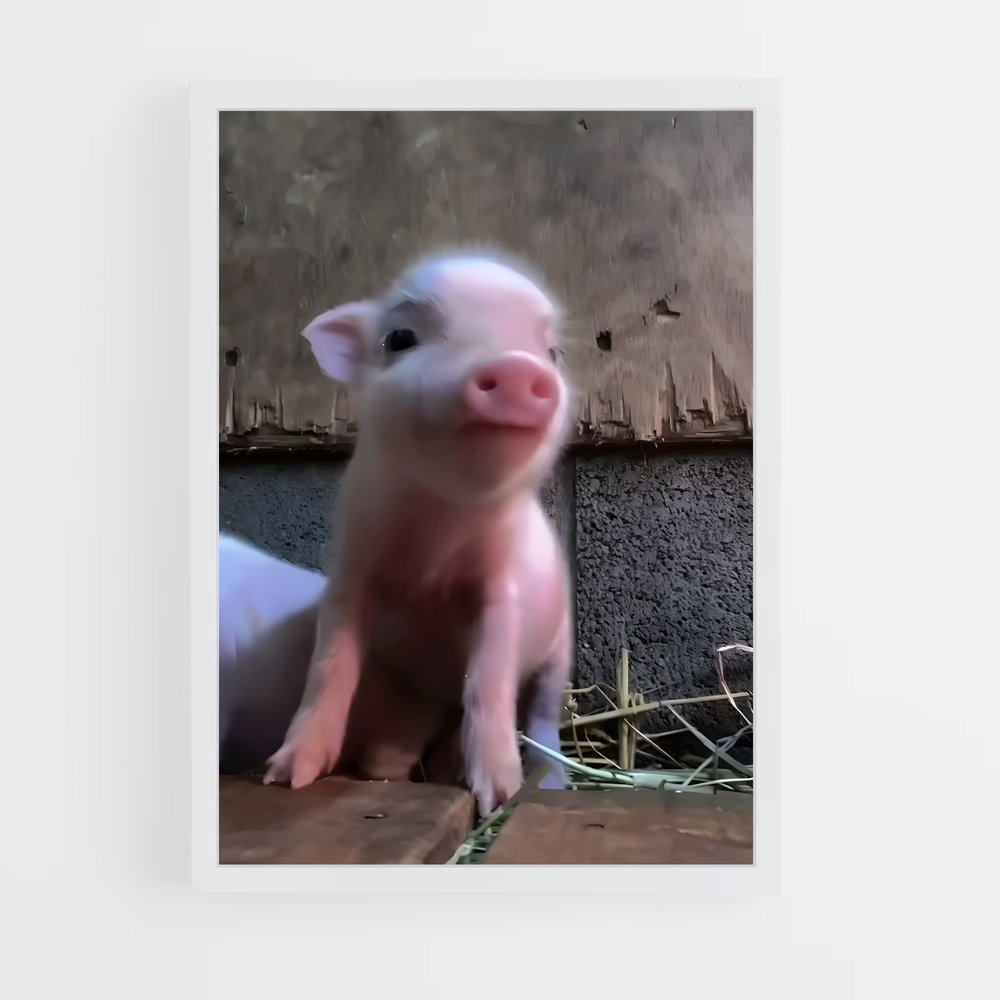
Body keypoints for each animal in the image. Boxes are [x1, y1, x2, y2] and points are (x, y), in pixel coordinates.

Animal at [263, 249, 575, 816]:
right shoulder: (351, 573)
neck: (436, 537)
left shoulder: (503, 591)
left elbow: (489, 680)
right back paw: (390, 771)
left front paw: (498, 795)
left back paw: (548, 784)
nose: (517, 368)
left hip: (561, 647)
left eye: (552, 352)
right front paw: (285, 778)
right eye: (400, 338)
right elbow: (329, 666)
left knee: (541, 717)